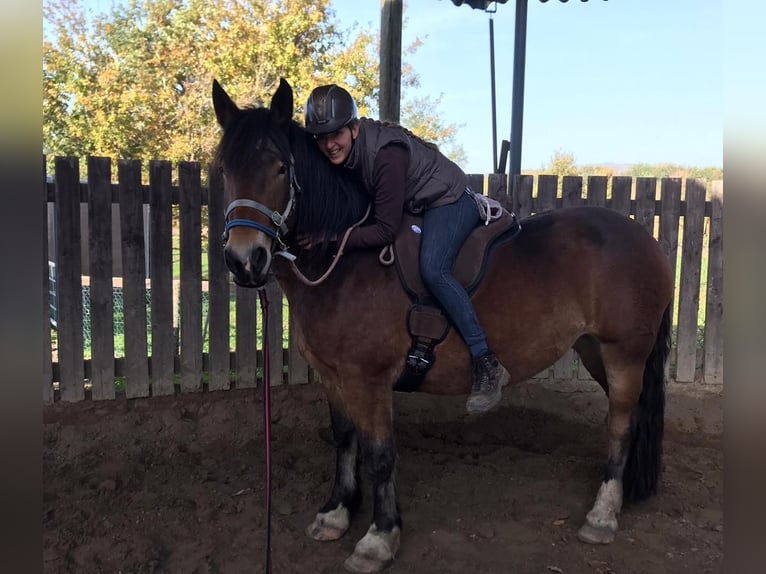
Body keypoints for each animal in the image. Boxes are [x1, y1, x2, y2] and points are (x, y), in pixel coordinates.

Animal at [213, 77, 676, 574]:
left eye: (281, 169)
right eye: (224, 170)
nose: (245, 260)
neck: (343, 265)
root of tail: (645, 238)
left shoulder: (368, 381)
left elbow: (380, 455)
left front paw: (379, 537)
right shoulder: (333, 377)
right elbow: (344, 439)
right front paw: (337, 512)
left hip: (623, 352)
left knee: (621, 423)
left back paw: (603, 514)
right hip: (595, 350)